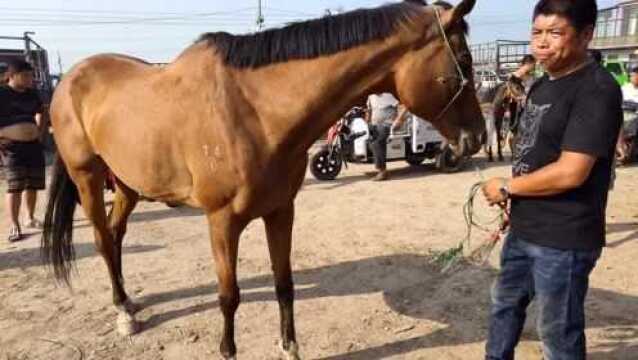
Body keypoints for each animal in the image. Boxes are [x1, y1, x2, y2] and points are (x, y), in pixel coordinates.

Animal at [42, 1, 484, 358]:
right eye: (463, 61)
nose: (477, 137)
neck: (254, 112)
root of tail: (70, 79)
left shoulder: (280, 211)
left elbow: (284, 283)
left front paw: (290, 348)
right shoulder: (221, 222)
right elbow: (229, 295)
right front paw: (228, 350)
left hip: (128, 184)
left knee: (116, 235)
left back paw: (129, 302)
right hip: (87, 177)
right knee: (103, 239)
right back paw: (122, 312)